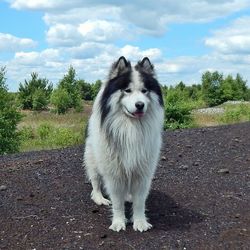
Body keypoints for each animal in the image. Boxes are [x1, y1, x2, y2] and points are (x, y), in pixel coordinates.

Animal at [84, 56, 164, 232]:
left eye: (144, 90)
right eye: (127, 90)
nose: (140, 105)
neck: (130, 127)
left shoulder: (142, 171)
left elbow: (140, 202)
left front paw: (140, 222)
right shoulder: (113, 172)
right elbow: (117, 203)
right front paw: (119, 222)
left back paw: (128, 196)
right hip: (93, 158)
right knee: (95, 181)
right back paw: (99, 198)